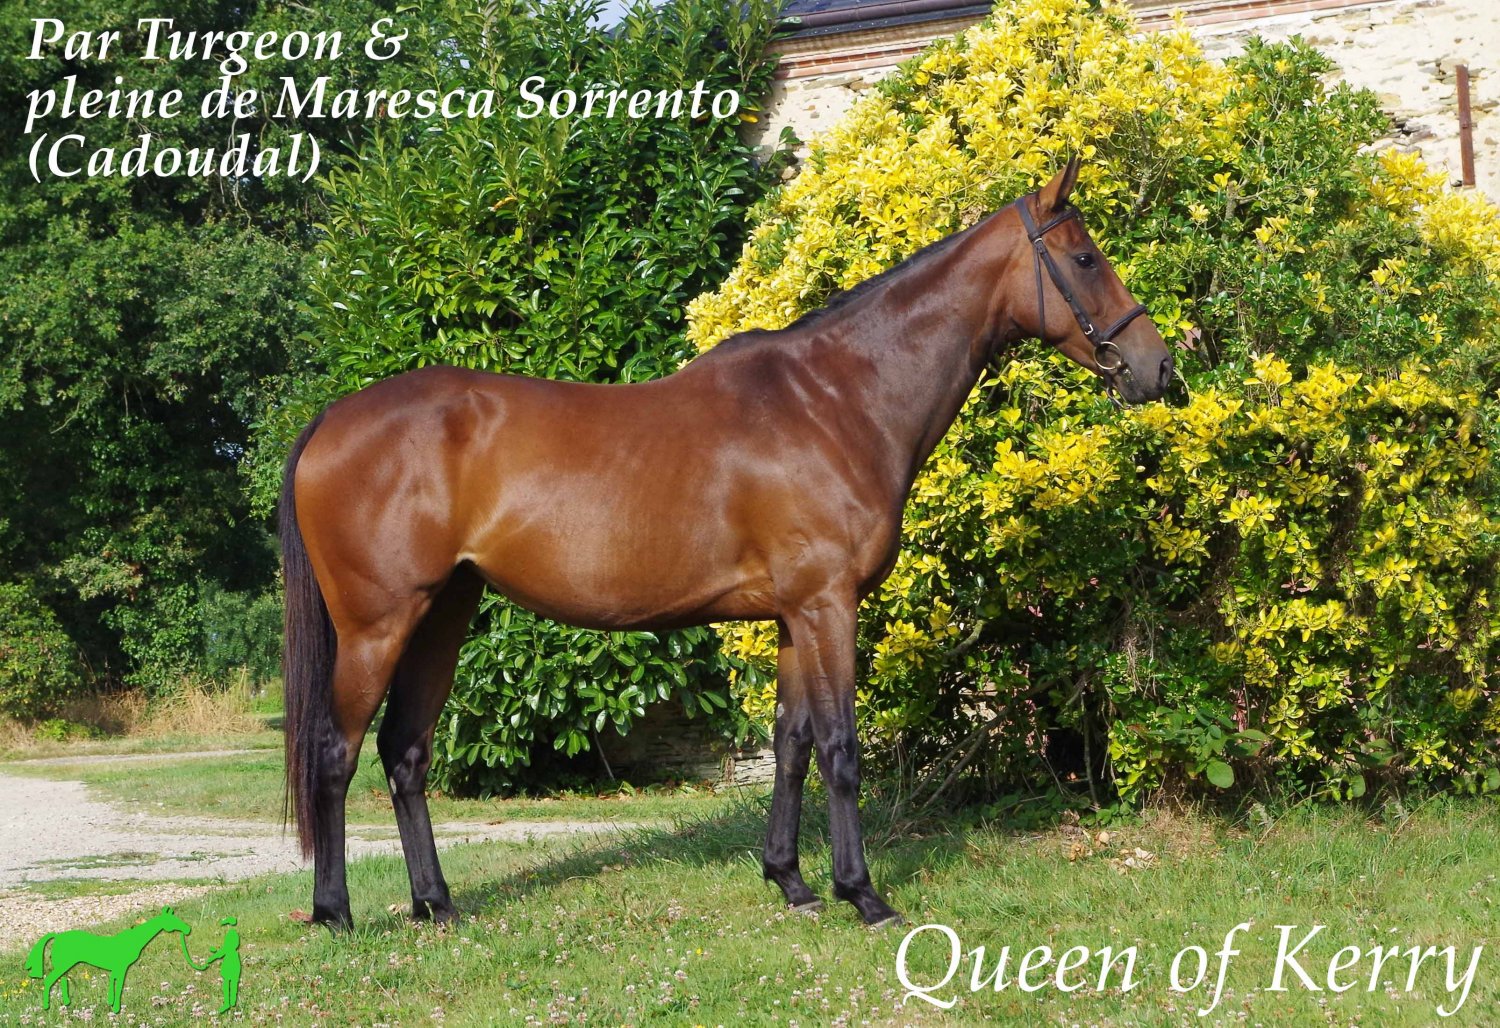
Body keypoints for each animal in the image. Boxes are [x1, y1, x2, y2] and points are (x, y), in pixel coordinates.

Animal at [24, 906, 192, 1012]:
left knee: (63, 981)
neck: (132, 940)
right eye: (173, 920)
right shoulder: (122, 967)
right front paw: (116, 1007)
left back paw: (67, 1004)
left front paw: (111, 1003)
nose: (188, 929)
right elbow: (119, 986)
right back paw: (47, 1006)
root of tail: (57, 937)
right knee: (50, 980)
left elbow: (113, 984)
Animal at [280, 158, 1173, 930]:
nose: (1158, 368)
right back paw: (336, 914)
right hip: (378, 625)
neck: (837, 399)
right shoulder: (828, 605)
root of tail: (333, 420)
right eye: (1085, 257)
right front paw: (864, 896)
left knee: (405, 752)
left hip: (444, 614)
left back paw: (437, 905)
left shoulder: (794, 614)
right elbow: (841, 748)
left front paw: (792, 883)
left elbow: (791, 744)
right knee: (336, 751)